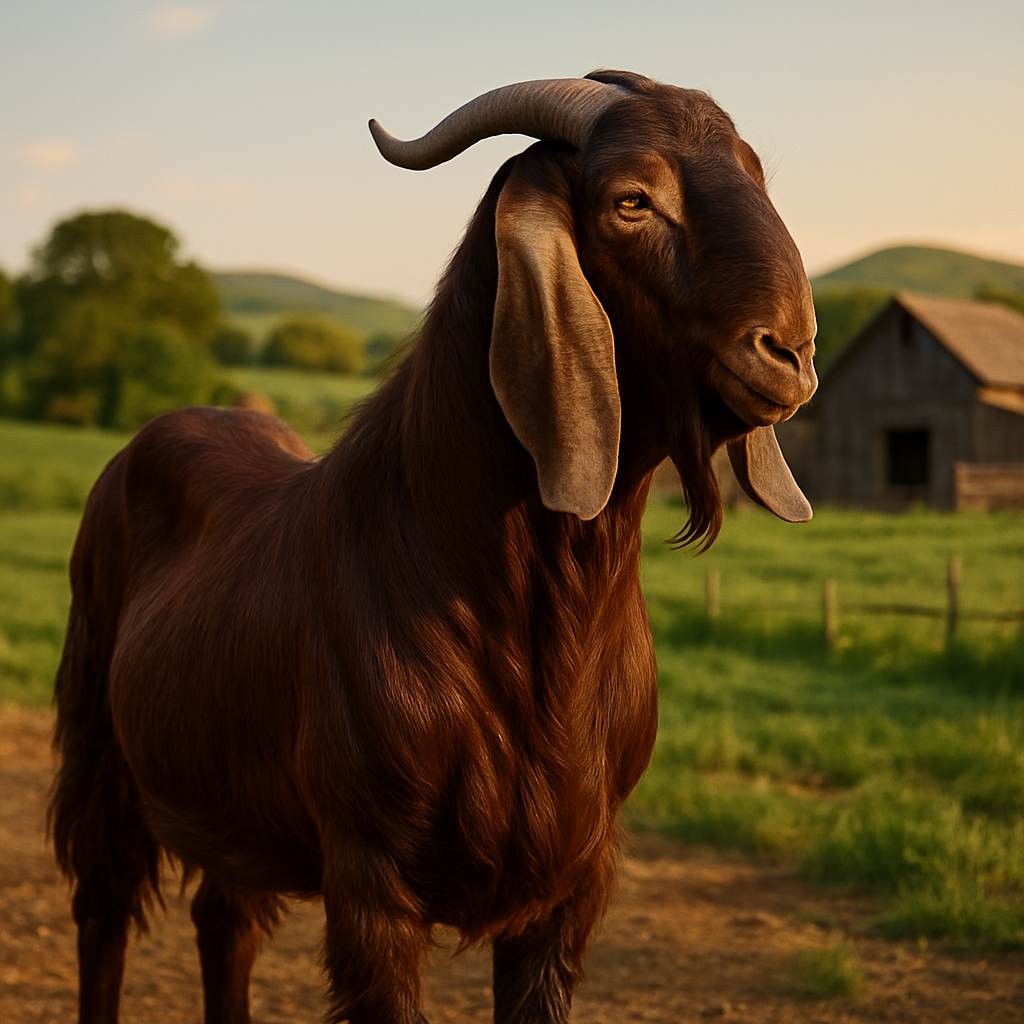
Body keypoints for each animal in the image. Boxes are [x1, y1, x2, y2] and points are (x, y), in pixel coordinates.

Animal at [49, 70, 817, 1024]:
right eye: (632, 200)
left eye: (756, 176)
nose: (791, 352)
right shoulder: (373, 877)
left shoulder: (573, 880)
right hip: (99, 740)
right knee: (104, 910)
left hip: (228, 793)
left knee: (223, 919)